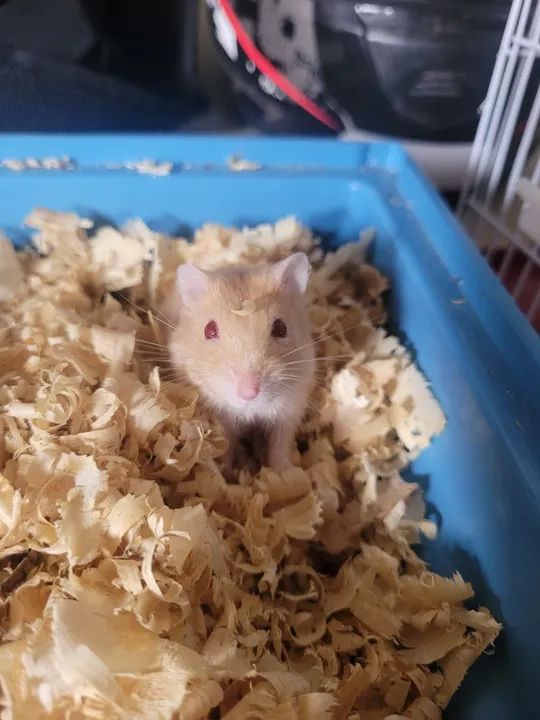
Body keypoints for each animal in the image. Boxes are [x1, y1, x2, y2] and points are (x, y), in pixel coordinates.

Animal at [165, 253, 315, 473]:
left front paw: (286, 473)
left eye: (281, 328)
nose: (249, 393)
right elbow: (225, 446)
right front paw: (223, 473)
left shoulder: (288, 411)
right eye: (209, 330)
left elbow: (278, 446)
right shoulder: (221, 419)